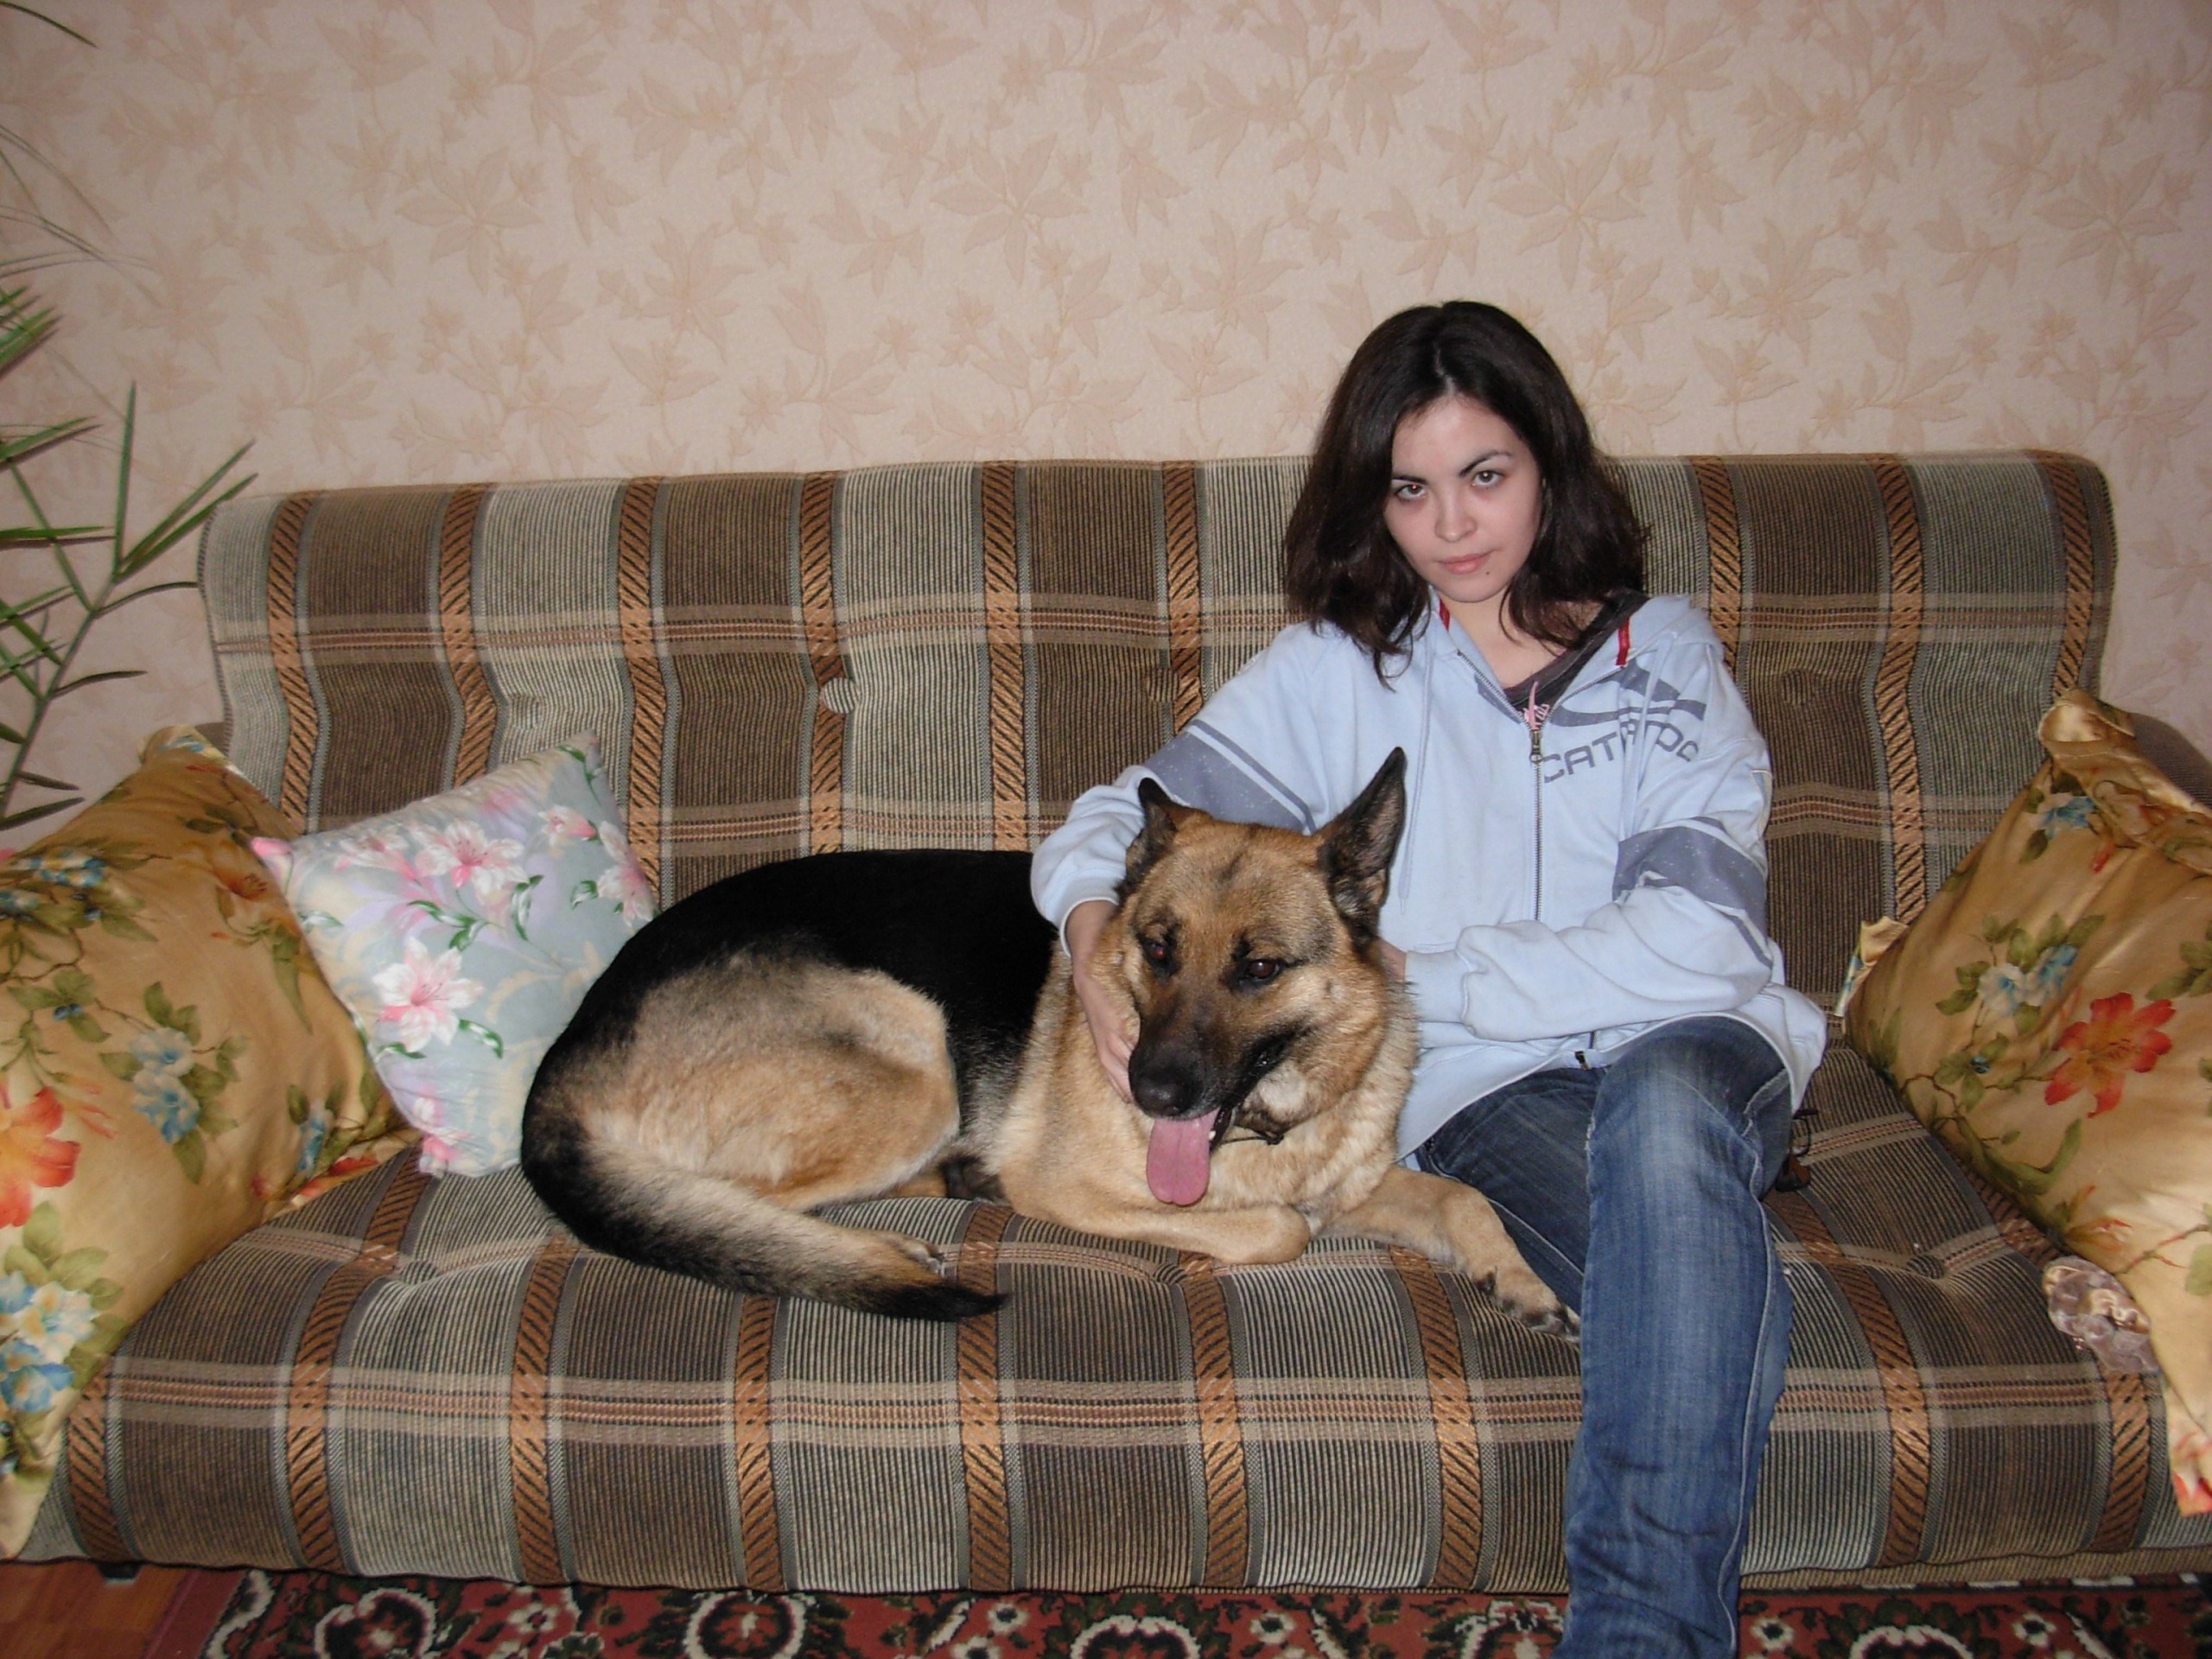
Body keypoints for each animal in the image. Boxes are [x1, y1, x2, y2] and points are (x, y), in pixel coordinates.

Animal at [521, 750, 1567, 1331]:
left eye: (1260, 968)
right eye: (1157, 948)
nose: (1151, 1093)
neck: (1276, 1123)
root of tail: (563, 1062)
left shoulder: (1355, 1184)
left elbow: (1461, 1198)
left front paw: (1517, 1279)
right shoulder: (1076, 1192)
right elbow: (1277, 1229)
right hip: (913, 1058)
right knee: (726, 1210)